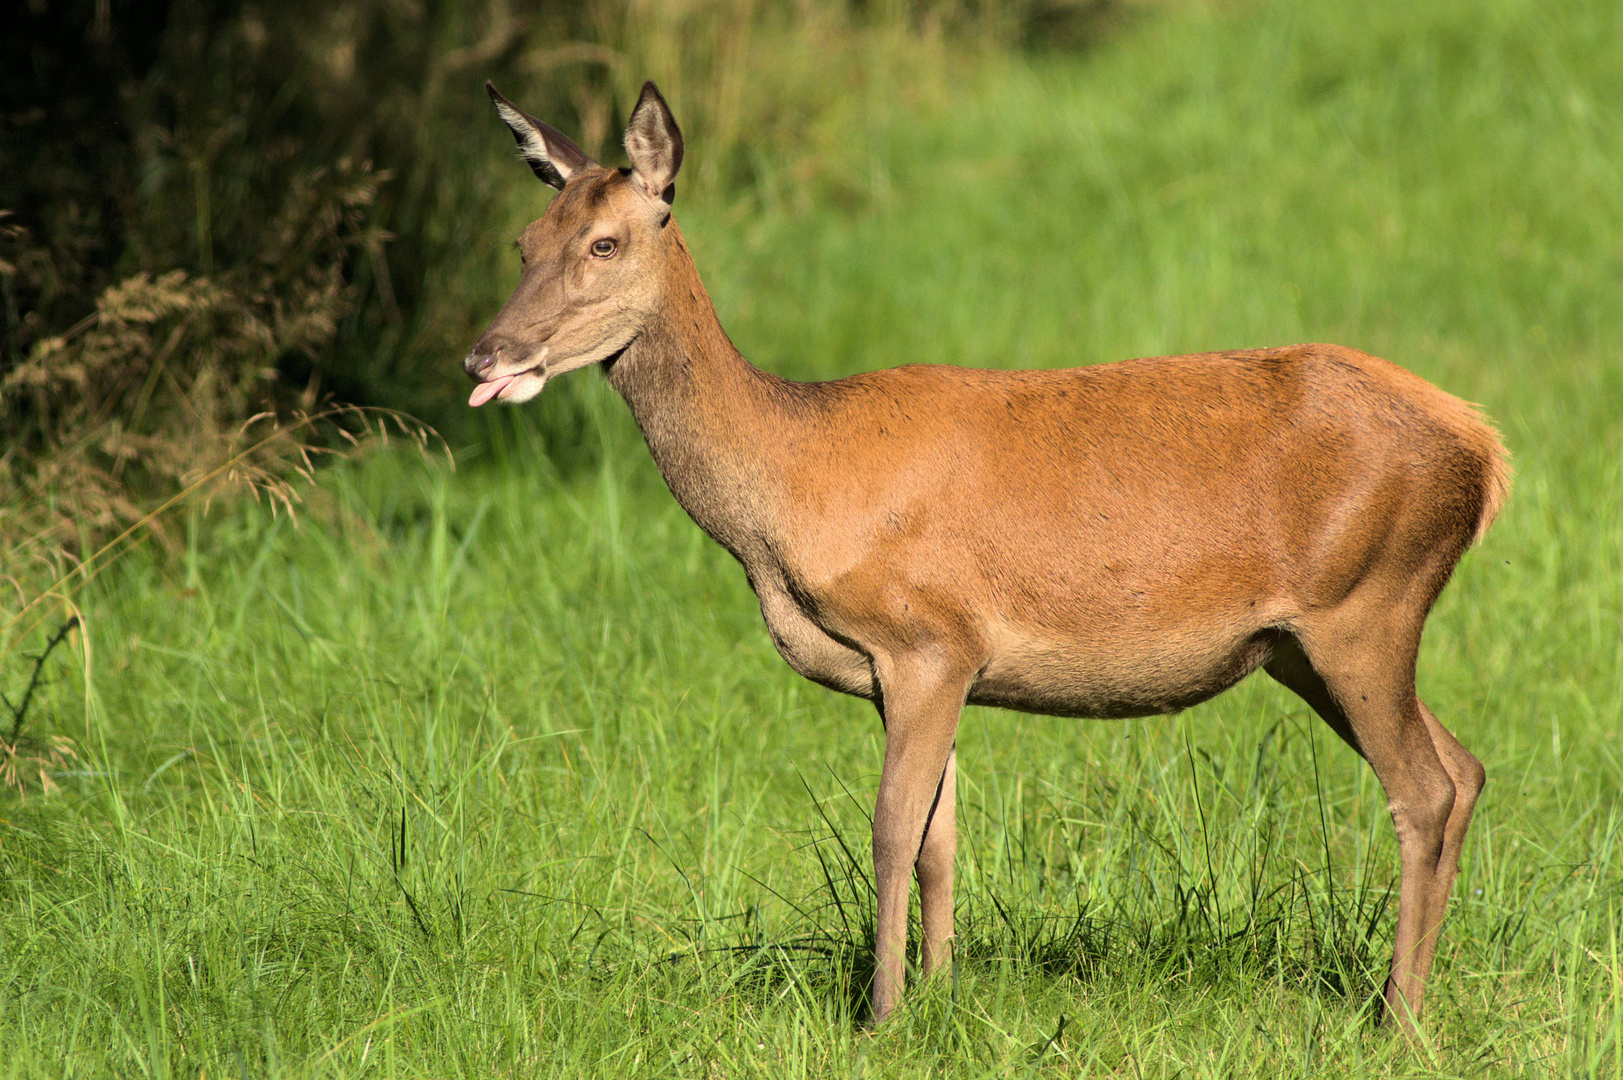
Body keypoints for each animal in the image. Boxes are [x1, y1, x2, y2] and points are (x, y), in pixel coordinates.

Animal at [467, 82, 1506, 1026]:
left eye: (605, 243)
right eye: (523, 242)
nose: (487, 353)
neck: (791, 488)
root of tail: (1485, 453)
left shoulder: (926, 638)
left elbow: (890, 830)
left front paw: (880, 1015)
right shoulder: (925, 667)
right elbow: (940, 839)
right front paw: (938, 998)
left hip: (1364, 603)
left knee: (1421, 790)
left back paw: (1397, 1018)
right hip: (1304, 645)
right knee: (1462, 768)